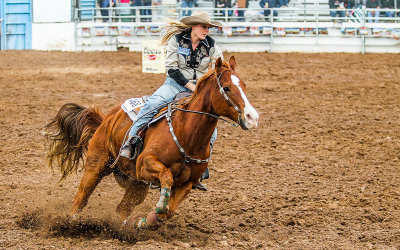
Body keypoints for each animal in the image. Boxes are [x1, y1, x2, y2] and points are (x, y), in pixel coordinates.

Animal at [47, 57, 260, 229]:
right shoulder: (145, 164)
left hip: (136, 185)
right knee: (80, 198)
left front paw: (148, 220)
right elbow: (166, 176)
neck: (187, 134)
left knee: (122, 208)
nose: (252, 117)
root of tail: (106, 119)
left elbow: (169, 212)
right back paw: (71, 222)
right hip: (97, 165)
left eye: (245, 86)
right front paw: (157, 207)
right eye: (226, 87)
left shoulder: (188, 184)